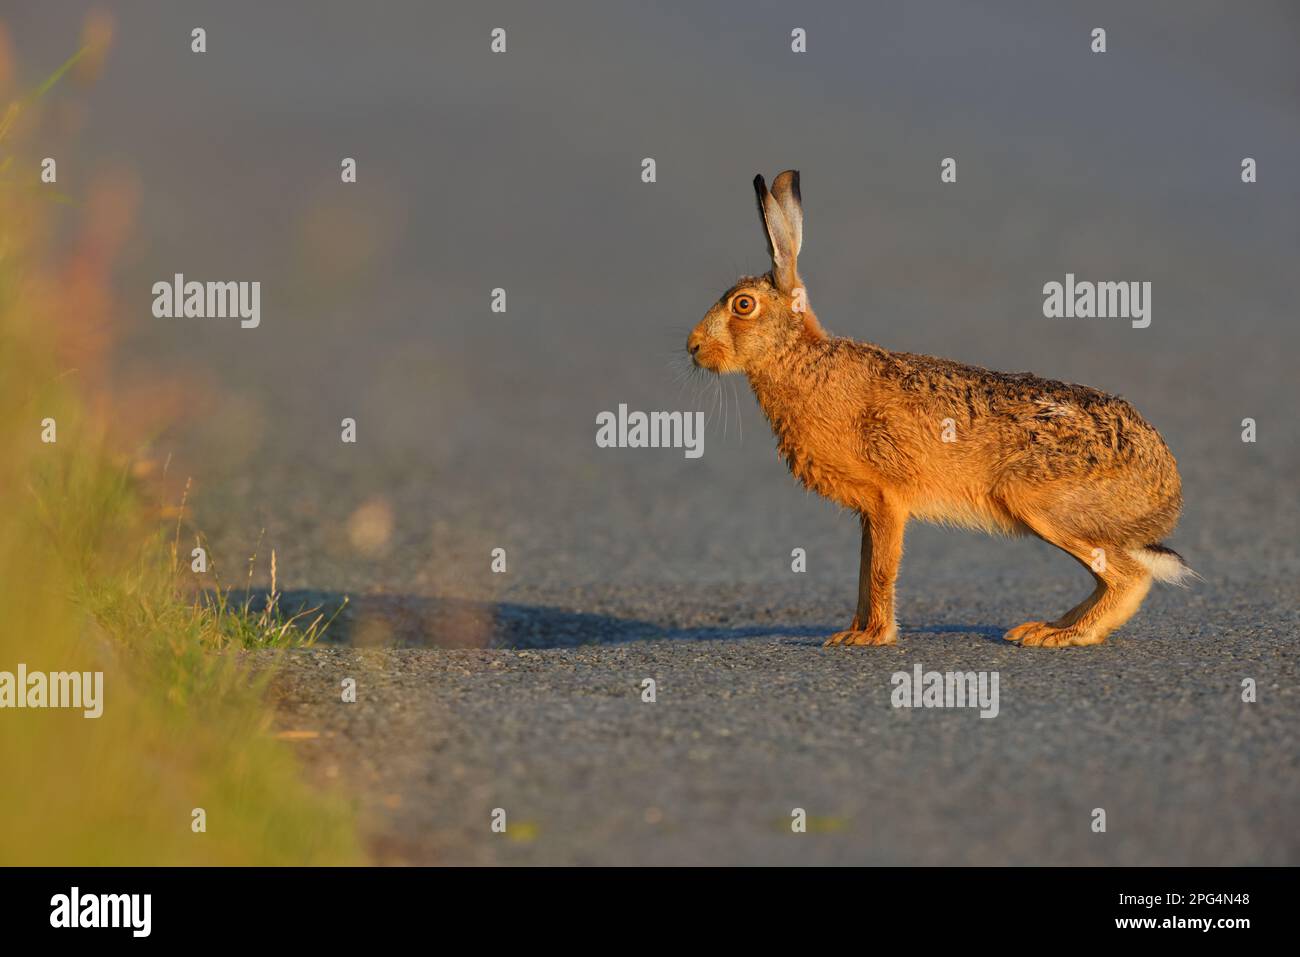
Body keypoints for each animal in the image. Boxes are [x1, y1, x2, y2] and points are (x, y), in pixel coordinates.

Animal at [686, 170, 1194, 647]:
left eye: (743, 305)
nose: (693, 348)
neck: (797, 358)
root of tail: (1167, 490)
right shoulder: (871, 511)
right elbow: (864, 572)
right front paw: (852, 632)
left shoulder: (887, 498)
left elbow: (880, 571)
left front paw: (871, 637)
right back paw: (1044, 627)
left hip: (1037, 501)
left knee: (1128, 577)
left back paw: (1059, 635)